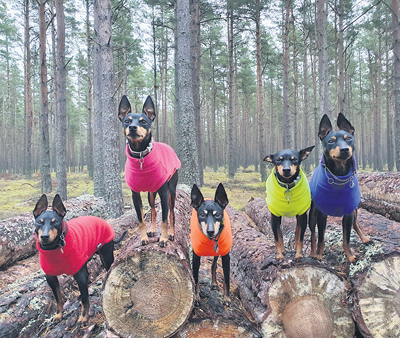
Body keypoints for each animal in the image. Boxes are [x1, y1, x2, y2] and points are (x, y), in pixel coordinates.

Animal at [33, 195, 126, 324]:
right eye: (39, 222)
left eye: (55, 222)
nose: (44, 237)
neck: (55, 248)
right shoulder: (50, 277)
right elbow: (58, 298)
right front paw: (58, 314)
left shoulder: (79, 275)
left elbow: (85, 300)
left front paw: (83, 316)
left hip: (106, 257)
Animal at [119, 94, 181, 246]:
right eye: (126, 121)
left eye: (144, 122)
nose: (132, 127)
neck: (141, 155)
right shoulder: (135, 195)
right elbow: (141, 220)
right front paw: (143, 238)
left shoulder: (164, 193)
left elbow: (165, 220)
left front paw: (164, 238)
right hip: (151, 194)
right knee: (153, 211)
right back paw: (152, 230)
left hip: (171, 191)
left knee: (172, 214)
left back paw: (171, 234)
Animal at [308, 113, 370, 262]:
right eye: (331, 141)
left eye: (349, 139)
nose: (344, 149)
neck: (339, 176)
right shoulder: (321, 214)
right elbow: (320, 238)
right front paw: (319, 254)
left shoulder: (348, 213)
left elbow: (346, 238)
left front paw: (350, 256)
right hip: (312, 214)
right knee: (313, 234)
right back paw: (313, 252)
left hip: (355, 210)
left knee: (356, 224)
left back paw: (364, 238)